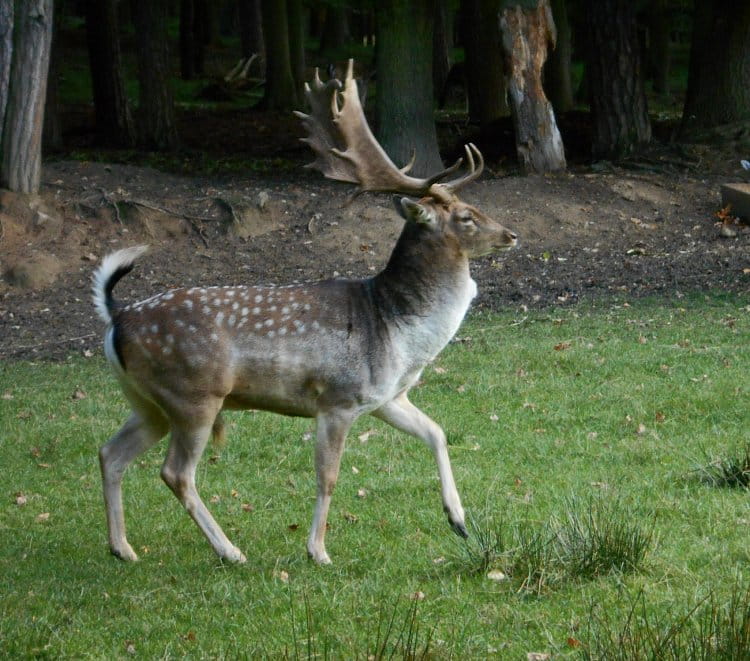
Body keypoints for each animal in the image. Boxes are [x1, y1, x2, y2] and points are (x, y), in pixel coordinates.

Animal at [92, 62, 516, 564]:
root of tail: (116, 318)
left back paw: (123, 548)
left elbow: (437, 431)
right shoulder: (338, 398)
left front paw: (458, 520)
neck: (396, 331)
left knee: (110, 453)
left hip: (148, 402)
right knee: (175, 473)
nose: (510, 234)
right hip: (193, 395)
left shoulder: (386, 397)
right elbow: (328, 477)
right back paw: (230, 551)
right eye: (466, 217)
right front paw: (318, 551)